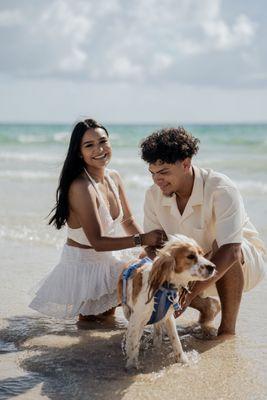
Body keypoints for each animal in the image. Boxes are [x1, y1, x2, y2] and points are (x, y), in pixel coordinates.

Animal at [118, 234, 217, 372]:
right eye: (191, 256)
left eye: (202, 254)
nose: (212, 267)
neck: (164, 287)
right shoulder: (136, 319)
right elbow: (133, 343)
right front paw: (132, 365)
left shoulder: (168, 316)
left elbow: (176, 340)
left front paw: (183, 361)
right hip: (129, 312)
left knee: (157, 332)